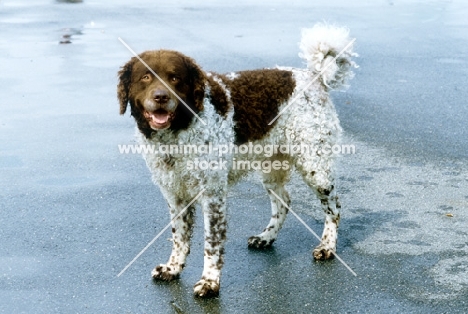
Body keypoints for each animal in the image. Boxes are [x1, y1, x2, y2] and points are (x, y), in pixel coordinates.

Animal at [117, 24, 354, 296]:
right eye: (145, 77)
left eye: (174, 77)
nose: (160, 97)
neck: (181, 129)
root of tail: (315, 76)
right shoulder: (175, 194)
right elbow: (179, 237)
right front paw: (173, 268)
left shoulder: (212, 194)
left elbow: (211, 243)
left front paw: (209, 282)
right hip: (272, 167)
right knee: (284, 201)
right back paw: (266, 237)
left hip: (315, 167)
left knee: (334, 206)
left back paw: (327, 247)